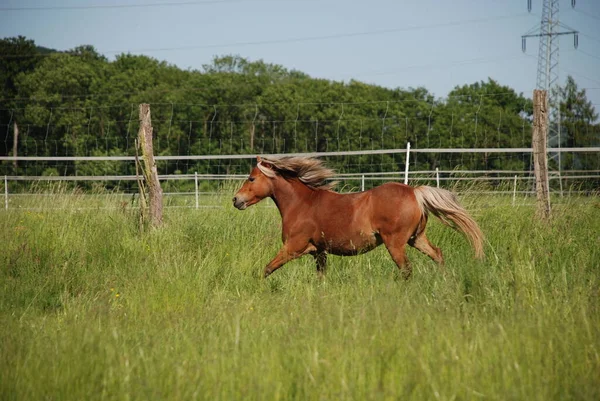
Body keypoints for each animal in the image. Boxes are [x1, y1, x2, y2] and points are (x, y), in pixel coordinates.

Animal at [232, 155, 486, 278]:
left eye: (251, 178)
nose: (236, 200)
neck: (302, 204)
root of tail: (415, 192)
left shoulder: (293, 247)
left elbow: (266, 269)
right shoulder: (319, 252)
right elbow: (321, 277)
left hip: (395, 243)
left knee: (406, 269)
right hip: (417, 238)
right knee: (437, 254)